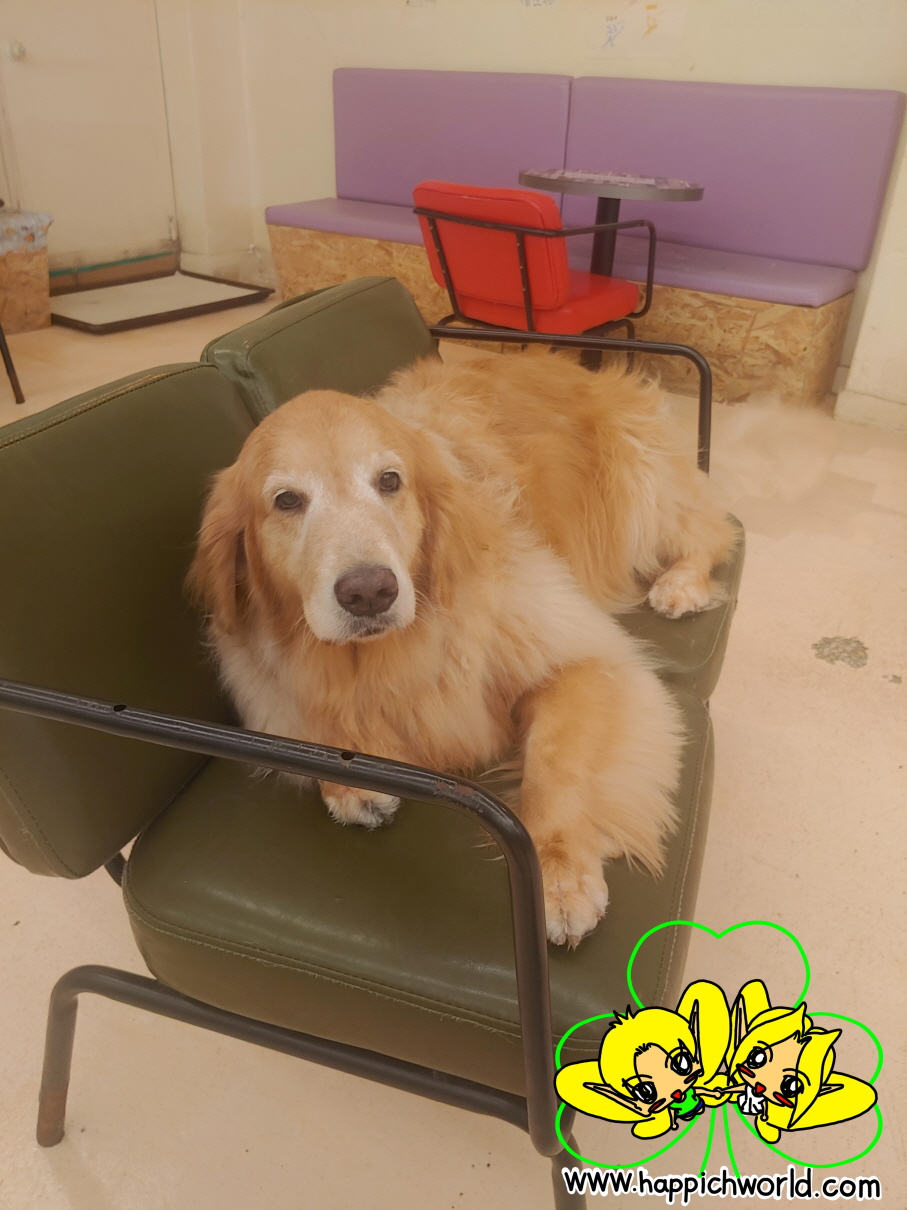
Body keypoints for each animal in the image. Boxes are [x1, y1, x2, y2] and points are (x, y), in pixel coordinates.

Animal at [188, 354, 736, 945]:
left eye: (390, 481)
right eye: (286, 500)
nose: (369, 592)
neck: (392, 653)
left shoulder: (584, 659)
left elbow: (554, 766)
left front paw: (560, 876)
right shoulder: (261, 678)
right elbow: (309, 713)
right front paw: (348, 780)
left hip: (644, 489)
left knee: (708, 531)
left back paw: (681, 585)